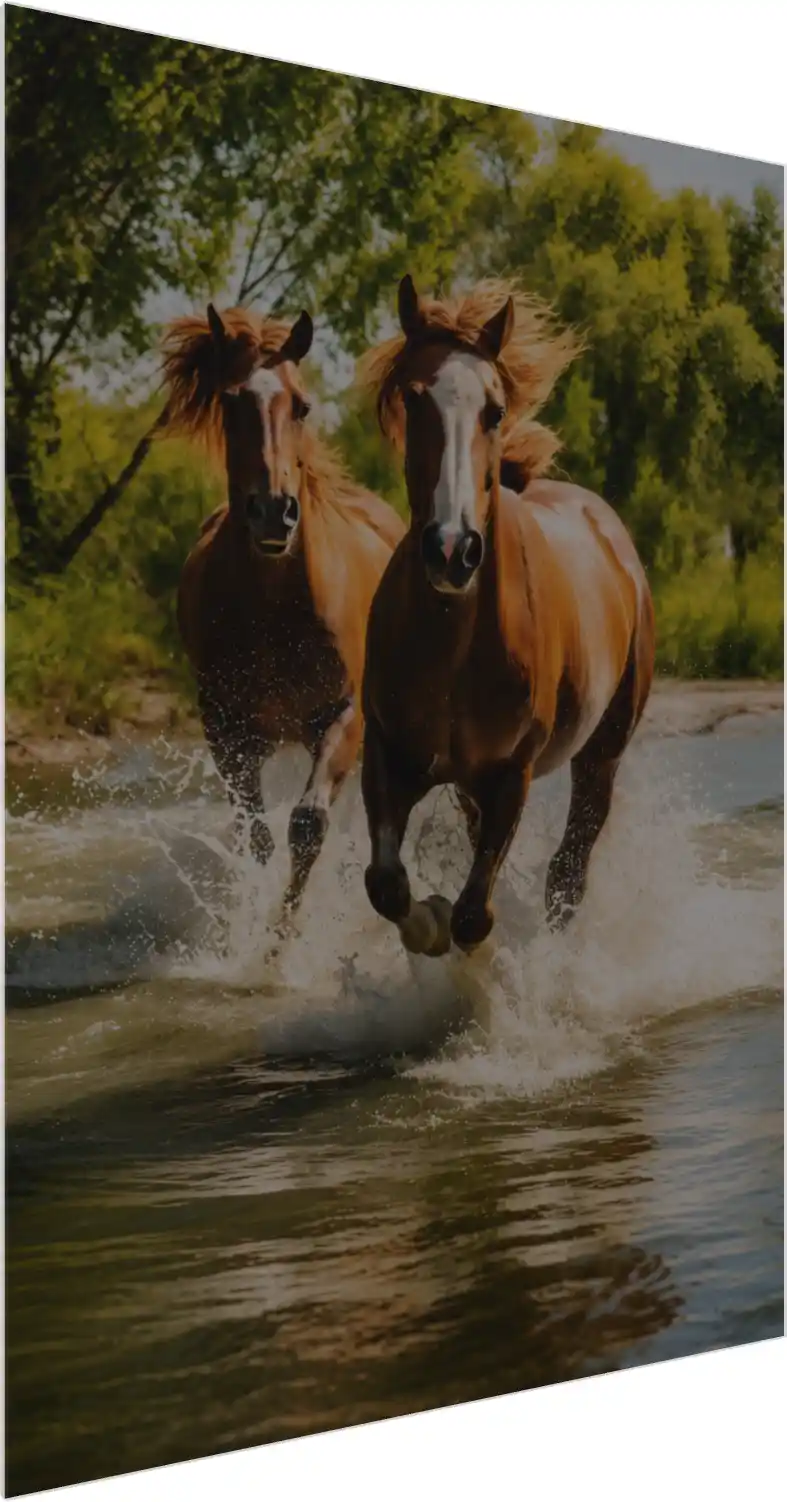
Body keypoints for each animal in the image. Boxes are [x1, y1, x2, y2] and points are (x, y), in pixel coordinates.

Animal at [161, 303, 406, 933]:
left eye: (302, 405)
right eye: (229, 402)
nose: (274, 512)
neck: (274, 606)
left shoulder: (344, 716)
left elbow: (308, 825)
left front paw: (282, 936)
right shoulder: (228, 731)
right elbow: (259, 836)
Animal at [357, 274, 655, 958]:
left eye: (493, 410)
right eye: (414, 399)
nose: (452, 548)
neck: (455, 641)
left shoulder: (509, 774)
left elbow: (475, 915)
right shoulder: (389, 751)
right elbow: (386, 884)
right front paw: (429, 923)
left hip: (602, 754)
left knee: (567, 874)